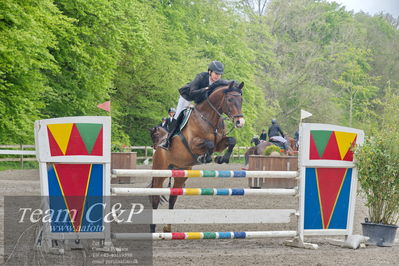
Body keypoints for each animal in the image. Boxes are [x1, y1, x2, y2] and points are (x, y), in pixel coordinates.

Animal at [150, 81, 245, 233]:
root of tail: (159, 146)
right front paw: (206, 158)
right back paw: (152, 229)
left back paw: (167, 227)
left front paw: (221, 159)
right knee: (155, 198)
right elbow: (209, 144)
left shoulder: (220, 143)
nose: (240, 122)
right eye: (230, 99)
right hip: (160, 172)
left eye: (241, 100)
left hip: (181, 173)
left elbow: (231, 141)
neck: (209, 118)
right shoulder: (194, 144)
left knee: (173, 197)